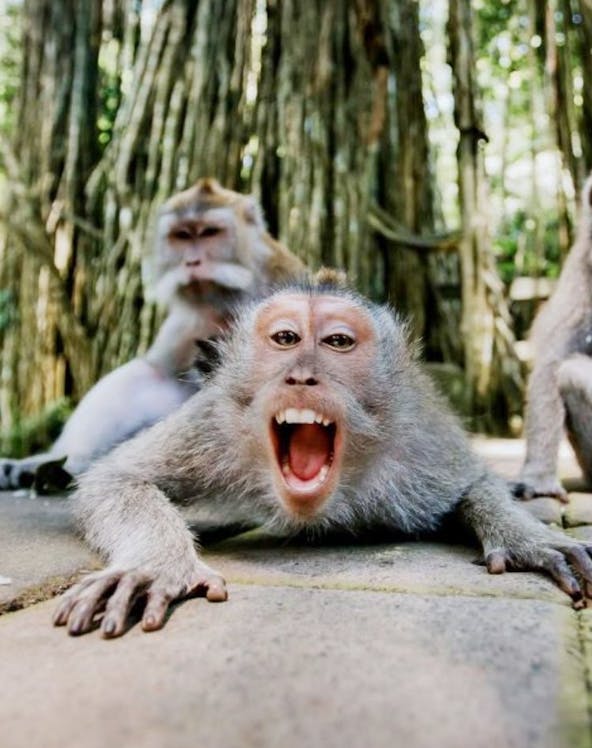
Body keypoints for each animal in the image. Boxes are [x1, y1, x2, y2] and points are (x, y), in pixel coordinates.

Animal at [0, 179, 305, 491]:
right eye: (182, 236)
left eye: (210, 232)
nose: (192, 262)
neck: (227, 302)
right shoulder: (188, 321)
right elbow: (159, 372)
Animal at [53, 283, 592, 638]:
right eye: (286, 339)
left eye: (337, 342)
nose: (302, 376)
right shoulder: (215, 422)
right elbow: (116, 478)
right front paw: (155, 564)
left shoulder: (418, 440)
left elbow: (474, 482)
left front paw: (528, 537)